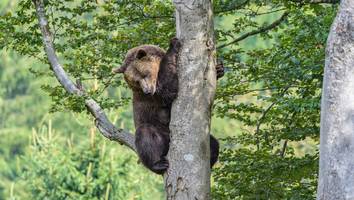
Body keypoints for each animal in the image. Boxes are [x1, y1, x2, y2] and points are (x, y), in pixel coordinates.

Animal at [113, 38, 224, 174]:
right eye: (136, 81)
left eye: (144, 74)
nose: (147, 91)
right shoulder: (156, 96)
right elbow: (167, 88)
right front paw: (174, 44)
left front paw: (219, 69)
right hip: (158, 129)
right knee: (146, 135)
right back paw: (158, 164)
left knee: (213, 144)